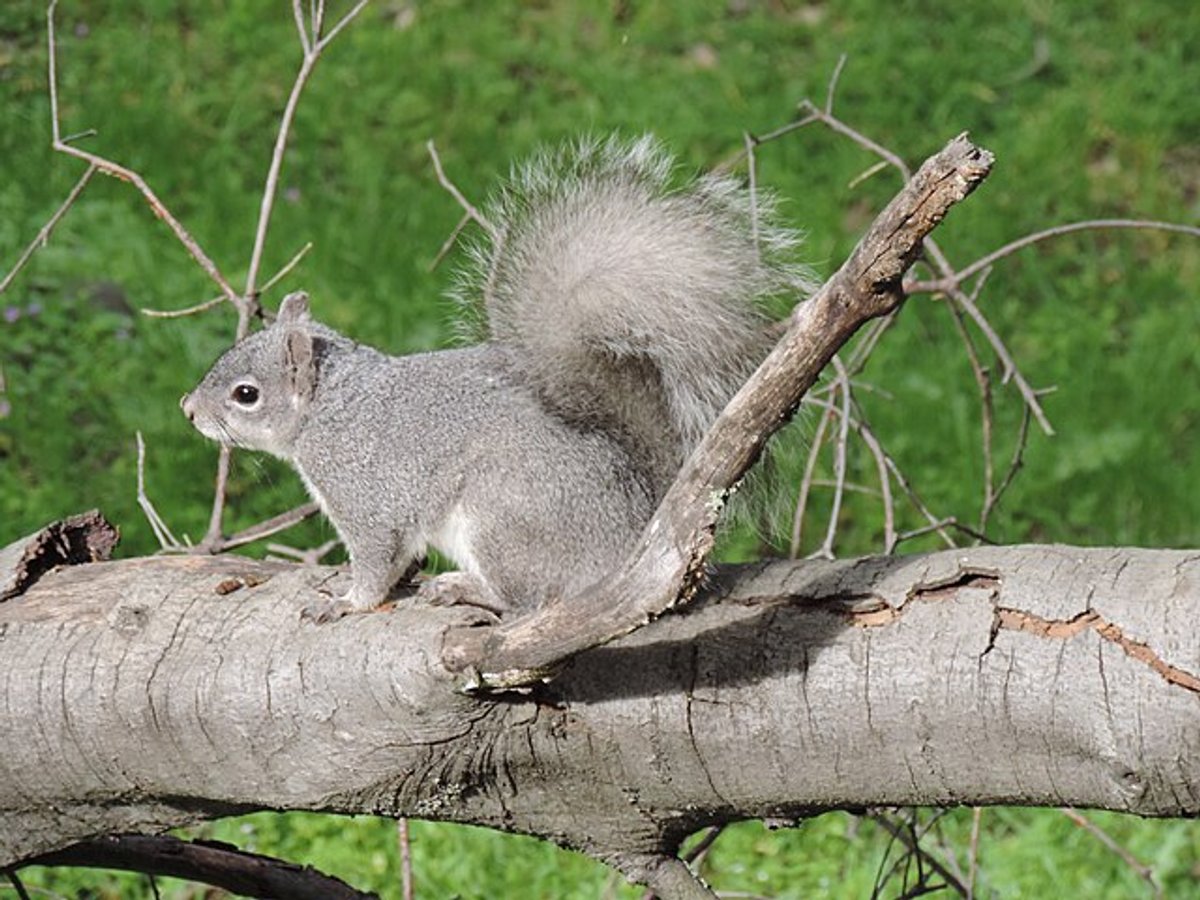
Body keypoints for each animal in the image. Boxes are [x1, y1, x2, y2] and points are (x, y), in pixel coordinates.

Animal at [181, 135, 812, 622]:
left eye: (245, 395)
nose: (188, 408)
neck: (331, 406)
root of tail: (634, 542)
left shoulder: (366, 492)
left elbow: (377, 557)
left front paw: (347, 602)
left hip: (502, 518)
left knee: (527, 602)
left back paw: (467, 589)